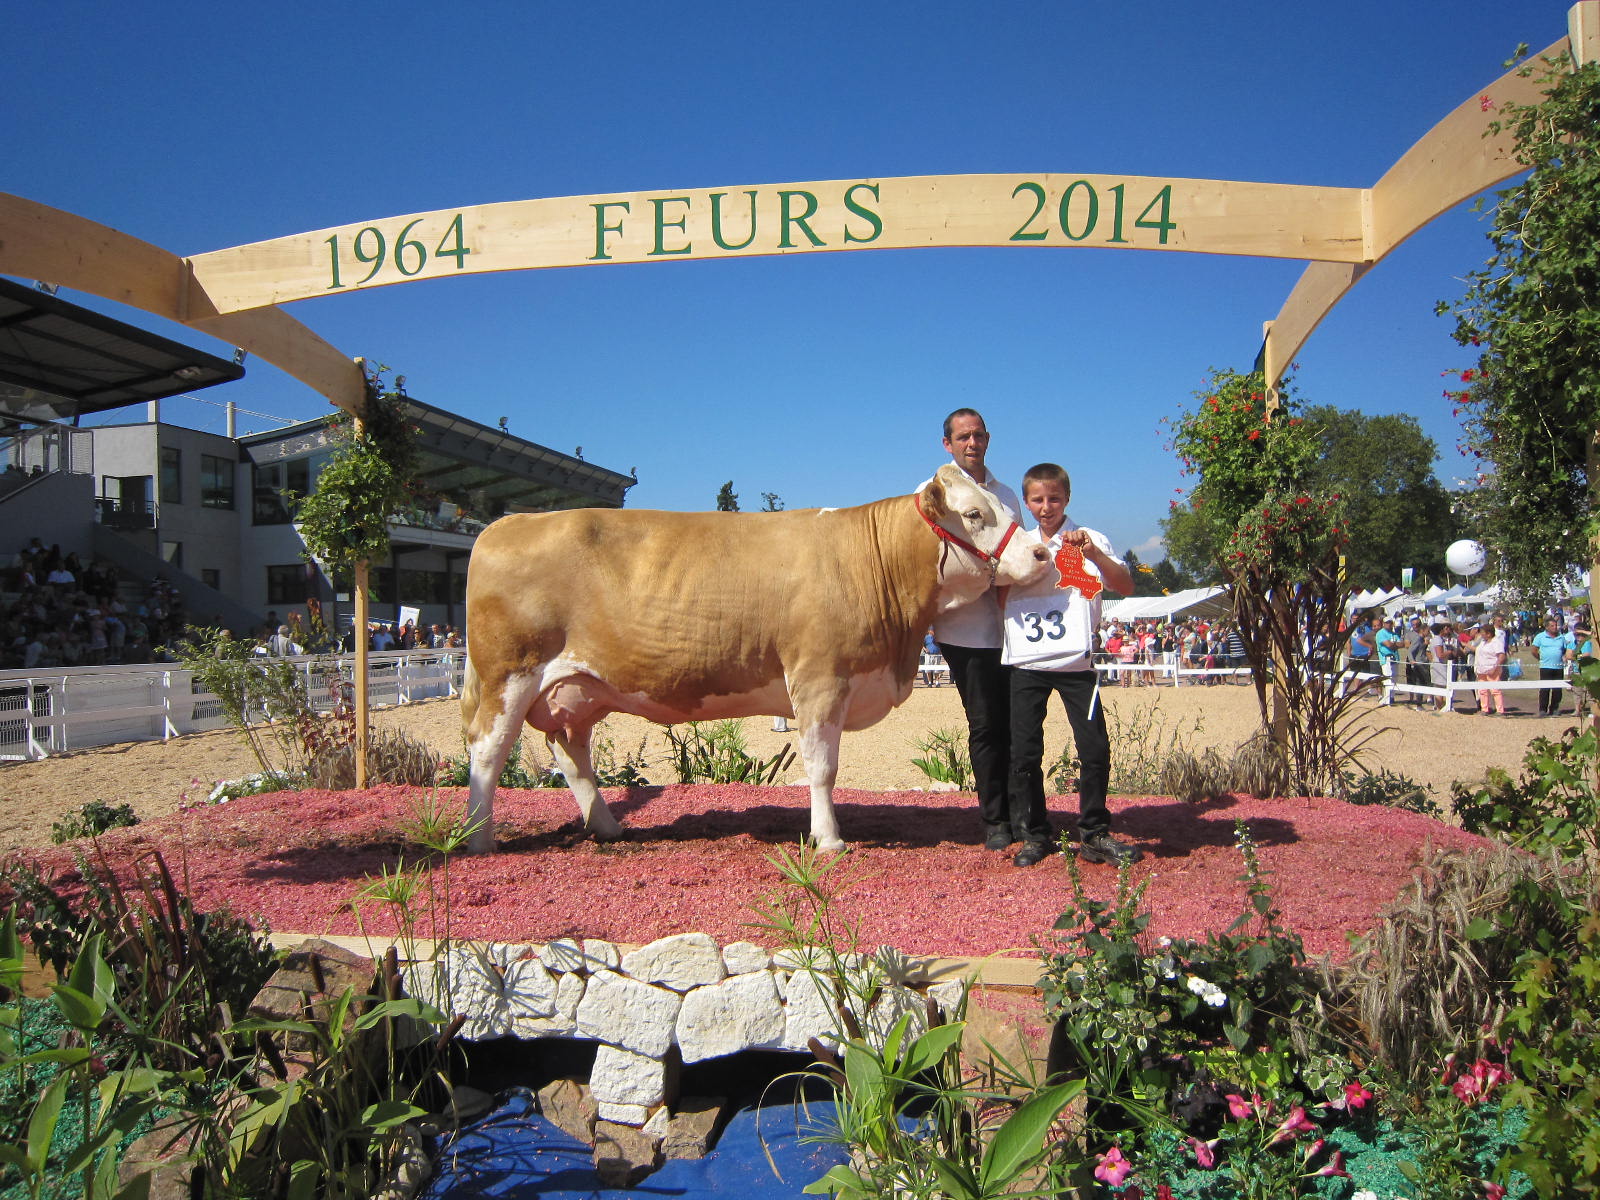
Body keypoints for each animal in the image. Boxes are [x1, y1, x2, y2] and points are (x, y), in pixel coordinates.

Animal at [464, 464, 1049, 857]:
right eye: (973, 514)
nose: (1043, 553)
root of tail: (505, 524)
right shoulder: (819, 678)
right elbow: (822, 767)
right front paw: (829, 840)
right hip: (507, 675)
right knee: (487, 753)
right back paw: (478, 838)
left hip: (577, 688)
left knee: (571, 753)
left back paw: (607, 828)